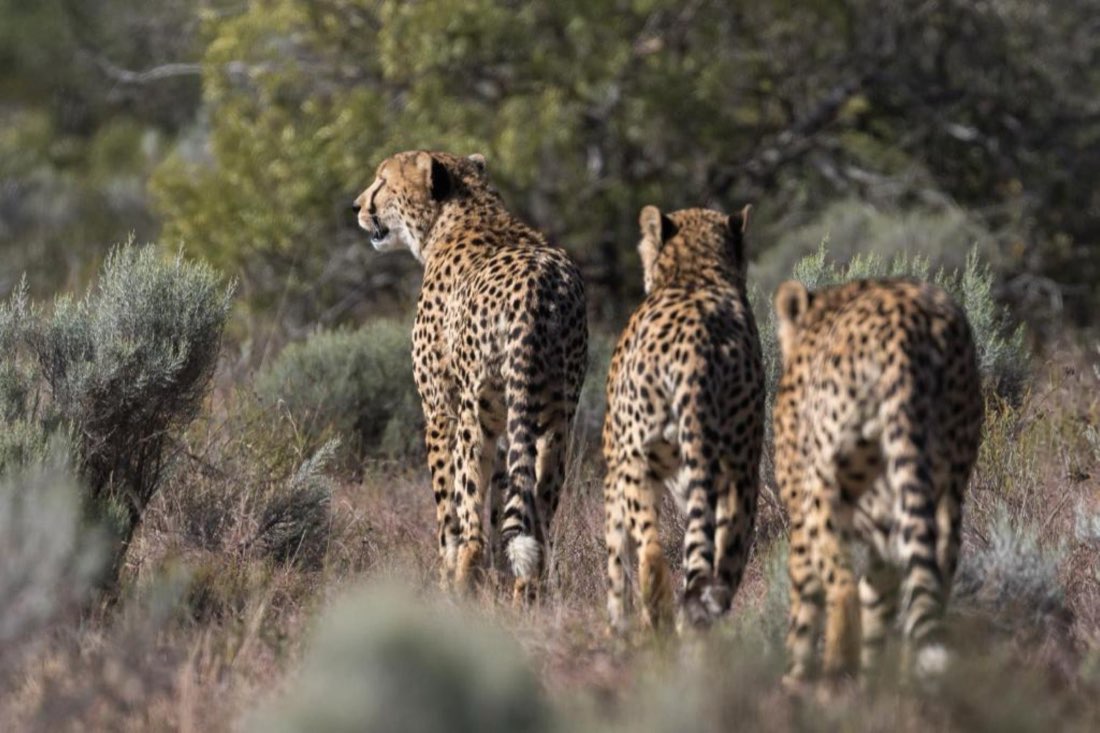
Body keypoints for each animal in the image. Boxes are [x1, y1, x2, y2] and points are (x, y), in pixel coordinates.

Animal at [354, 150, 588, 604]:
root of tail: (540, 287)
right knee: (538, 523)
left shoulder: (439, 412)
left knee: (472, 523)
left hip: (472, 415)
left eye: (383, 180)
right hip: (556, 421)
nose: (357, 205)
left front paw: (449, 572)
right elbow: (503, 504)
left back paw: (458, 588)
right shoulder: (509, 423)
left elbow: (450, 510)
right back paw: (525, 596)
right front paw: (496, 578)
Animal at [602, 204, 765, 633]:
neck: (697, 273)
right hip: (740, 476)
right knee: (719, 570)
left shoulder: (616, 471)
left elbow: (616, 556)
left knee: (651, 553)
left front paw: (617, 625)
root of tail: (698, 349)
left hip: (636, 463)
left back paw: (655, 624)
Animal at [771, 277, 983, 685]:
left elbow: (804, 610)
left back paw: (835, 675)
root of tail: (910, 327)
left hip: (825, 486)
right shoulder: (883, 537)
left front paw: (794, 682)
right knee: (929, 587)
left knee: (843, 588)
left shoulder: (801, 522)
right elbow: (879, 603)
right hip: (944, 492)